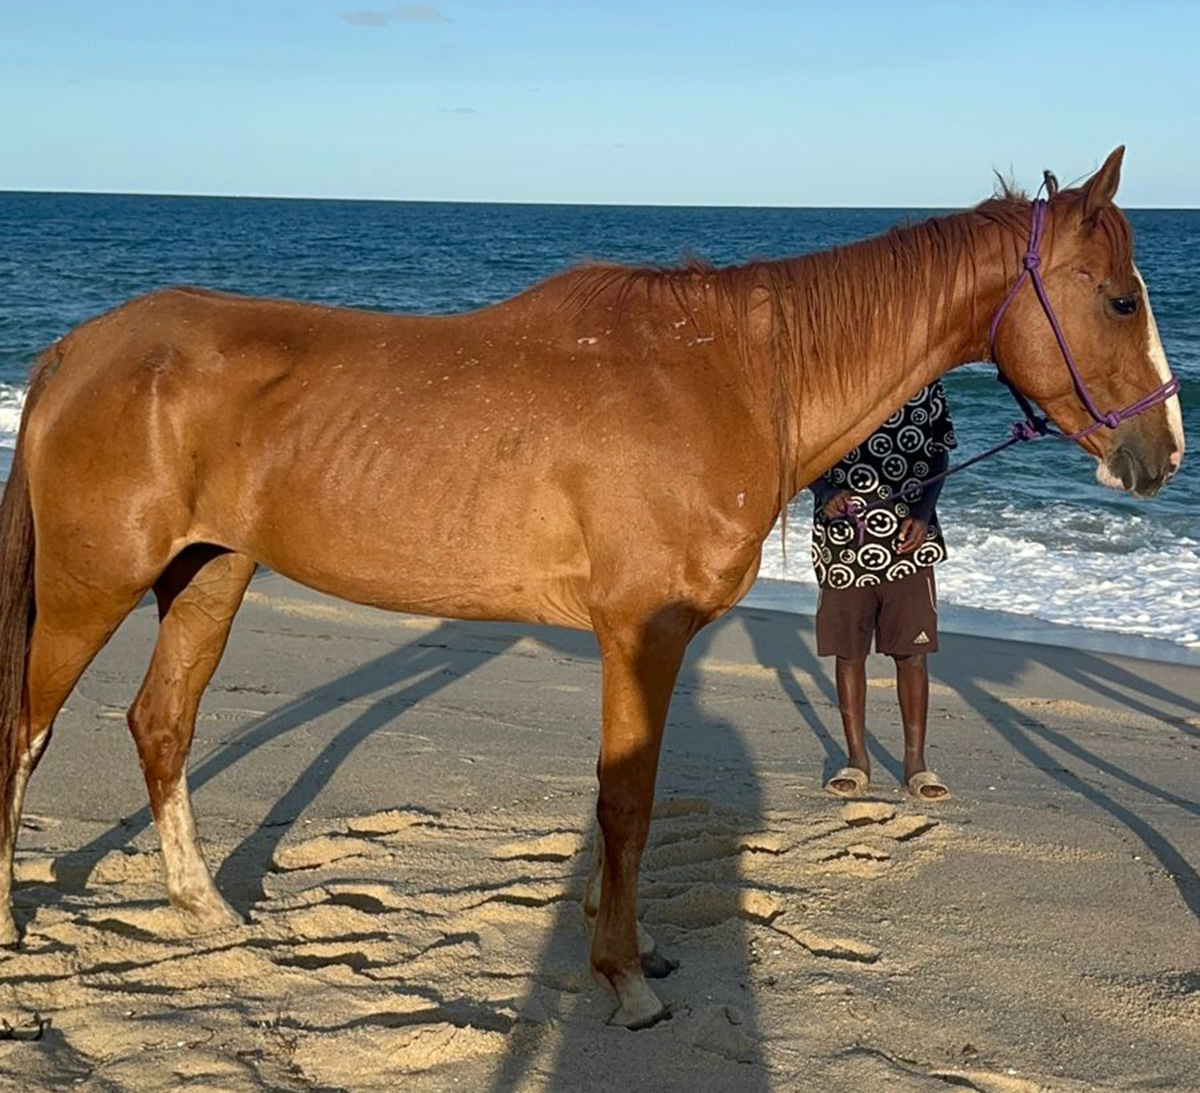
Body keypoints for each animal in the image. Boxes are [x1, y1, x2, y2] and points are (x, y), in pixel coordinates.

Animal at [0, 147, 1184, 1028]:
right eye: (1122, 300)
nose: (1162, 454)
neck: (726, 373)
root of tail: (79, 348)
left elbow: (627, 803)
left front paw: (635, 945)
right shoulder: (640, 634)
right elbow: (628, 799)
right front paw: (621, 974)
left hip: (210, 573)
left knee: (163, 723)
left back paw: (201, 907)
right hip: (91, 585)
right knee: (27, 731)